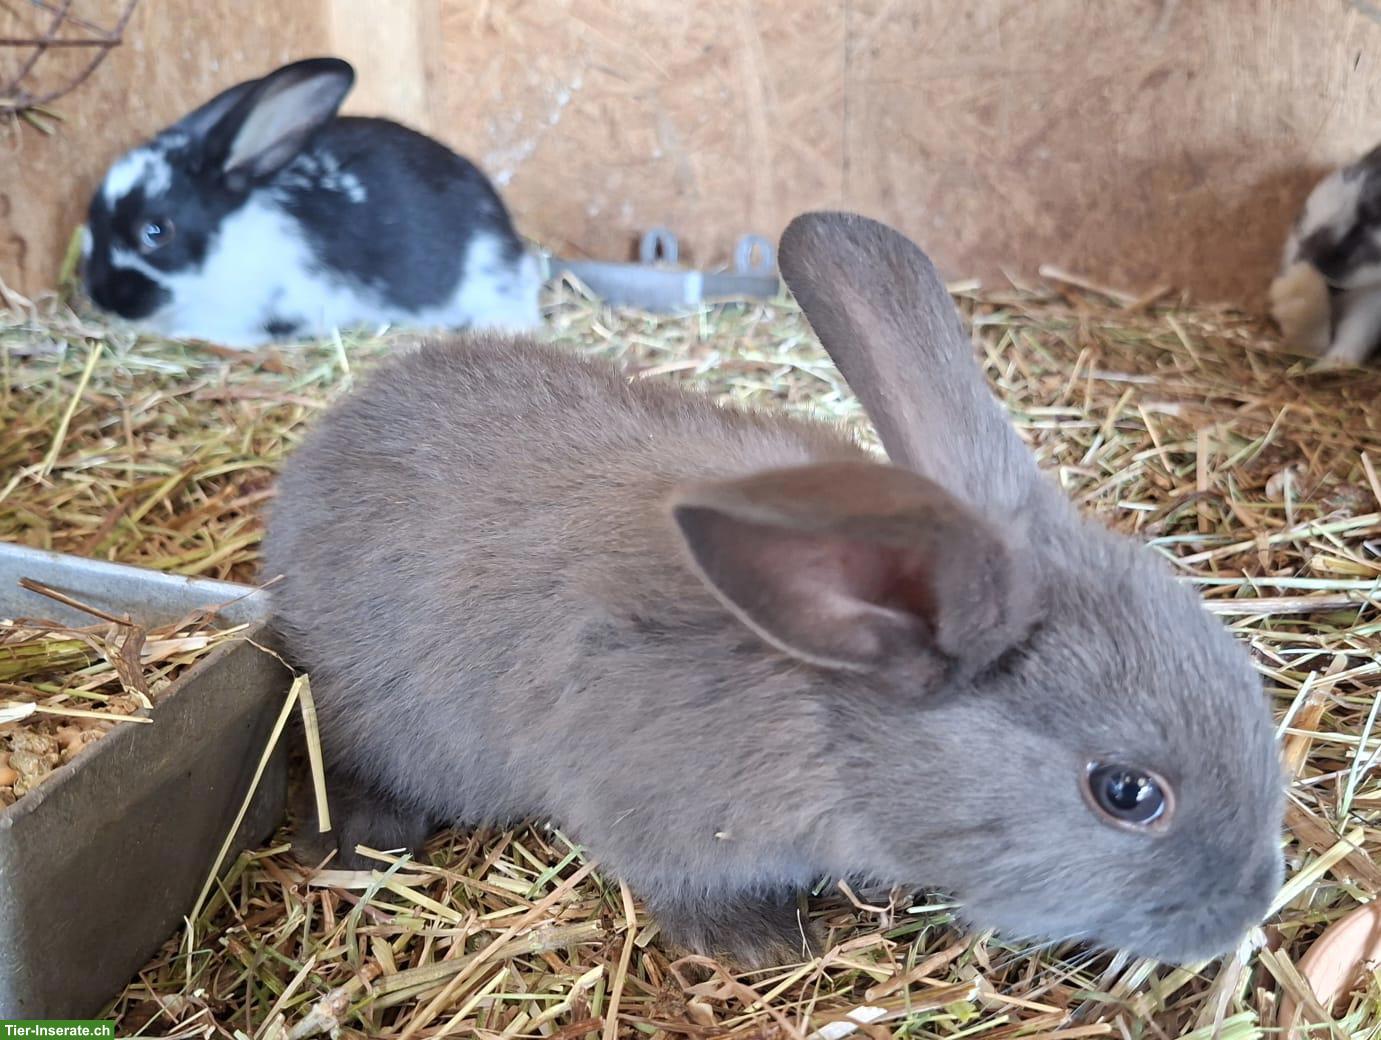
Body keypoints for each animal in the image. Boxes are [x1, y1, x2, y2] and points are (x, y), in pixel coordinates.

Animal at [262, 211, 1284, 969]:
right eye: (1127, 793)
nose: (1245, 908)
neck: (838, 721)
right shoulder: (654, 820)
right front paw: (768, 943)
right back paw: (360, 839)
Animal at [1270, 145, 1381, 367]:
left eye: (1369, 217)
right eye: (1302, 213)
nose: (1304, 259)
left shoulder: (1371, 300)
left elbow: (1356, 330)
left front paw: (1333, 363)